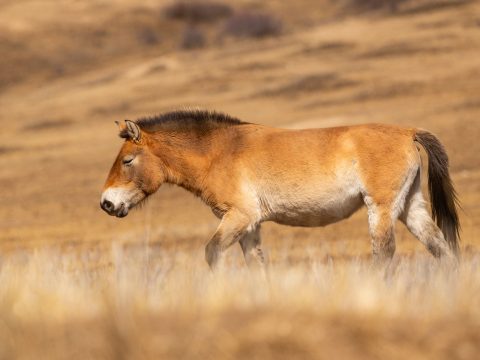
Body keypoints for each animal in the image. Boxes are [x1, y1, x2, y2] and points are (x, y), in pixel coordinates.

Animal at [99, 111, 460, 268]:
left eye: (128, 160)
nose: (107, 203)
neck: (220, 152)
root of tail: (408, 132)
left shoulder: (239, 217)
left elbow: (212, 252)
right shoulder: (249, 225)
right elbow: (257, 264)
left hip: (382, 209)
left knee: (384, 253)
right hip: (410, 207)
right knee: (441, 249)